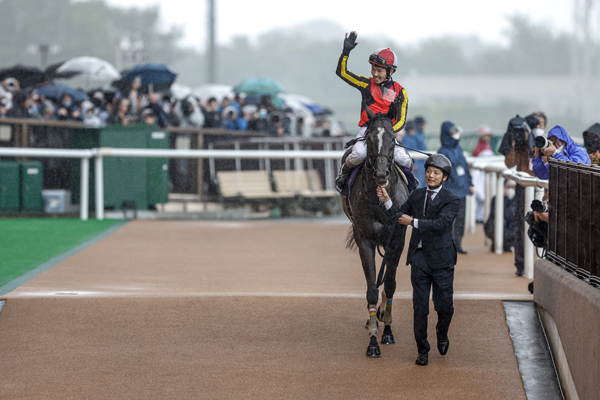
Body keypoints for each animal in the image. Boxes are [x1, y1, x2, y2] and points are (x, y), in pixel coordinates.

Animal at [342, 111, 412, 358]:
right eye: (370, 139)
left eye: (393, 139)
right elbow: (372, 288)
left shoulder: (397, 240)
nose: (382, 174)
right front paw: (372, 341)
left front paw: (387, 330)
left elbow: (389, 284)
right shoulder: (364, 239)